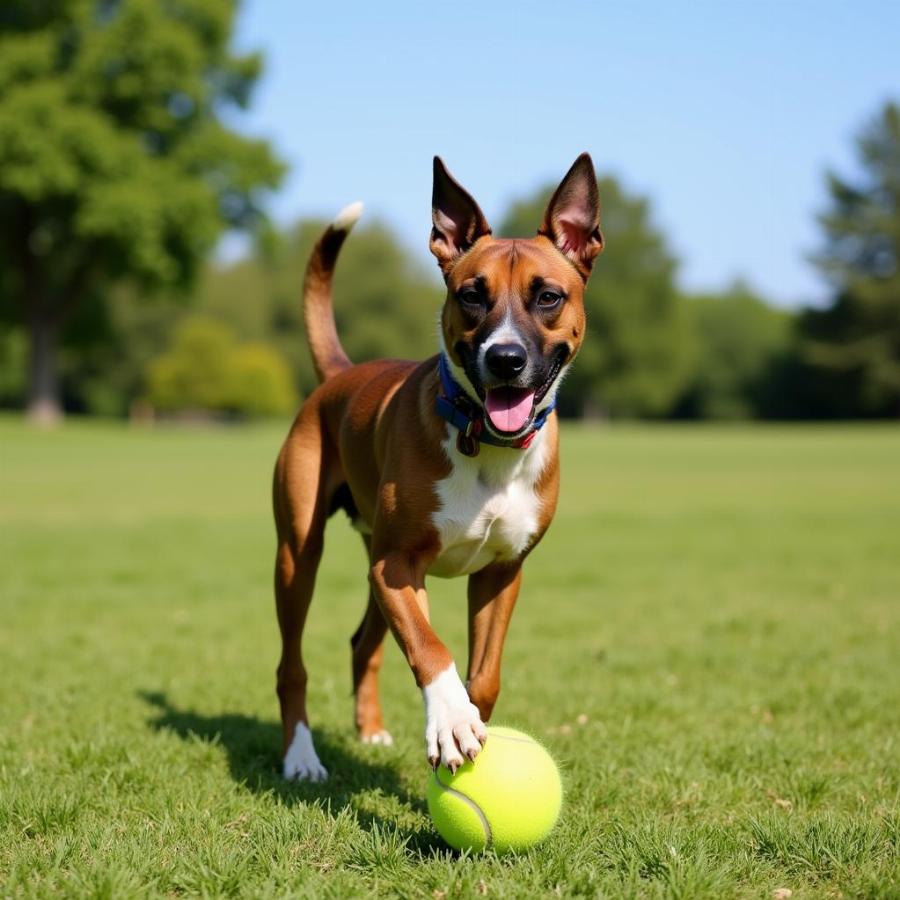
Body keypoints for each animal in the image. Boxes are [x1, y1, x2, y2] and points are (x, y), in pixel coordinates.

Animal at [270, 151, 600, 776]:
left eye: (548, 297)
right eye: (472, 294)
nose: (505, 358)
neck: (486, 445)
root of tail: (340, 374)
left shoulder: (501, 573)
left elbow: (485, 676)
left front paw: (472, 719)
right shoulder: (397, 566)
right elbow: (430, 647)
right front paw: (450, 721)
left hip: (370, 556)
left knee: (362, 644)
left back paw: (370, 731)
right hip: (299, 555)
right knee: (291, 665)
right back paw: (300, 756)